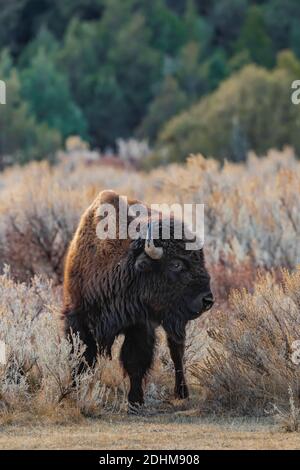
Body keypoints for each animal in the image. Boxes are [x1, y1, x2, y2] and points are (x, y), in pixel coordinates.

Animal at [62, 190, 213, 408]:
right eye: (176, 264)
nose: (207, 300)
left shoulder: (140, 324)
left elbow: (135, 361)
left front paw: (135, 401)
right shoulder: (77, 317)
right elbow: (80, 357)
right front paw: (74, 392)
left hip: (175, 322)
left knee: (177, 351)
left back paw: (182, 392)